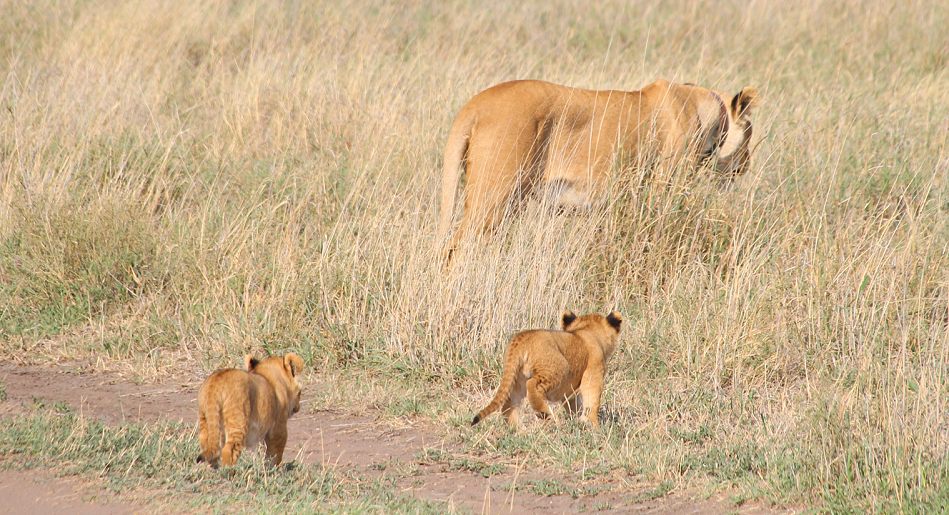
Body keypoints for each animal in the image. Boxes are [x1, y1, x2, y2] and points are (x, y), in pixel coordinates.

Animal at [436, 79, 756, 262]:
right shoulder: (665, 185)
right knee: (454, 249)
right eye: (750, 136)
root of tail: (474, 105)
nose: (746, 166)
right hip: (494, 196)